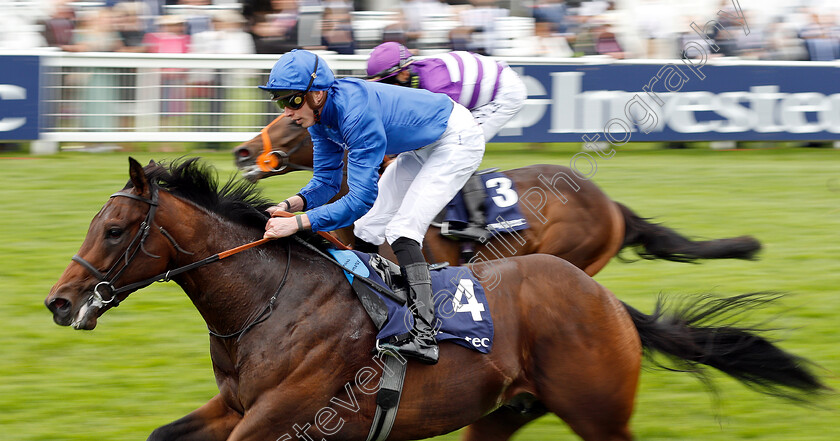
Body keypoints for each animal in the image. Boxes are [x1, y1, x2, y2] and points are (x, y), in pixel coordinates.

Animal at [44, 158, 820, 440]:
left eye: (113, 229)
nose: (58, 301)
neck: (270, 303)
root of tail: (605, 302)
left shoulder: (279, 417)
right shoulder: (234, 405)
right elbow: (163, 434)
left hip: (597, 411)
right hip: (501, 414)